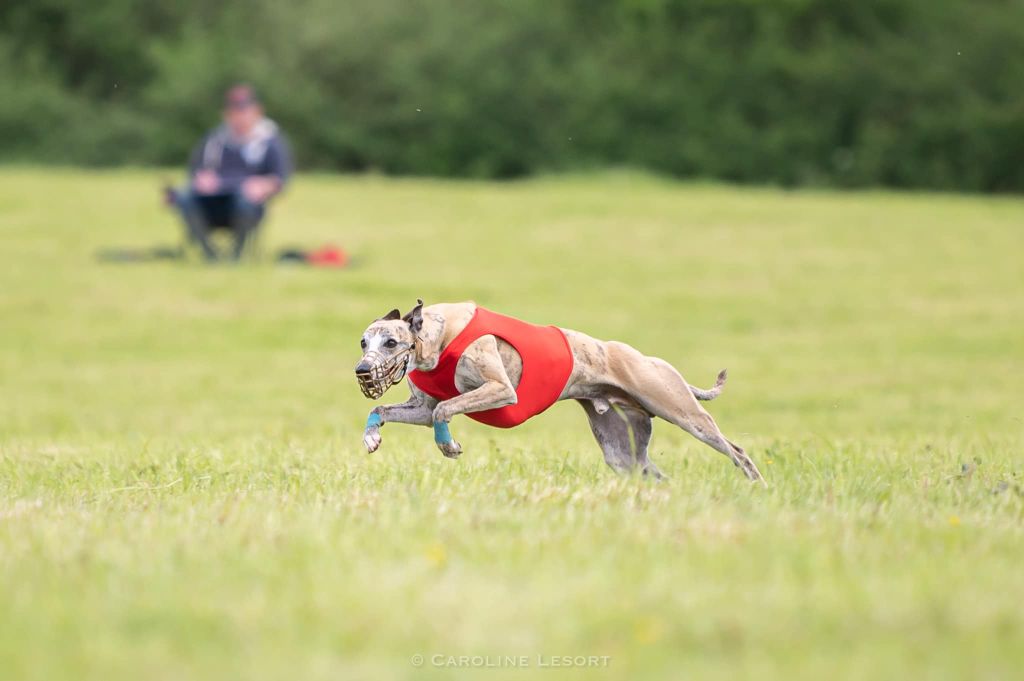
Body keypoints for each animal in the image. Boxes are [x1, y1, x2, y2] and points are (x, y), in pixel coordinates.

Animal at [356, 301, 765, 481]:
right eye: (363, 342)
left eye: (391, 342)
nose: (362, 370)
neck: (437, 338)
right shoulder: (421, 409)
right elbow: (390, 410)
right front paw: (371, 438)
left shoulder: (499, 388)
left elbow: (446, 409)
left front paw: (449, 446)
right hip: (622, 451)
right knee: (649, 472)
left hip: (681, 410)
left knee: (737, 450)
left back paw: (756, 485)